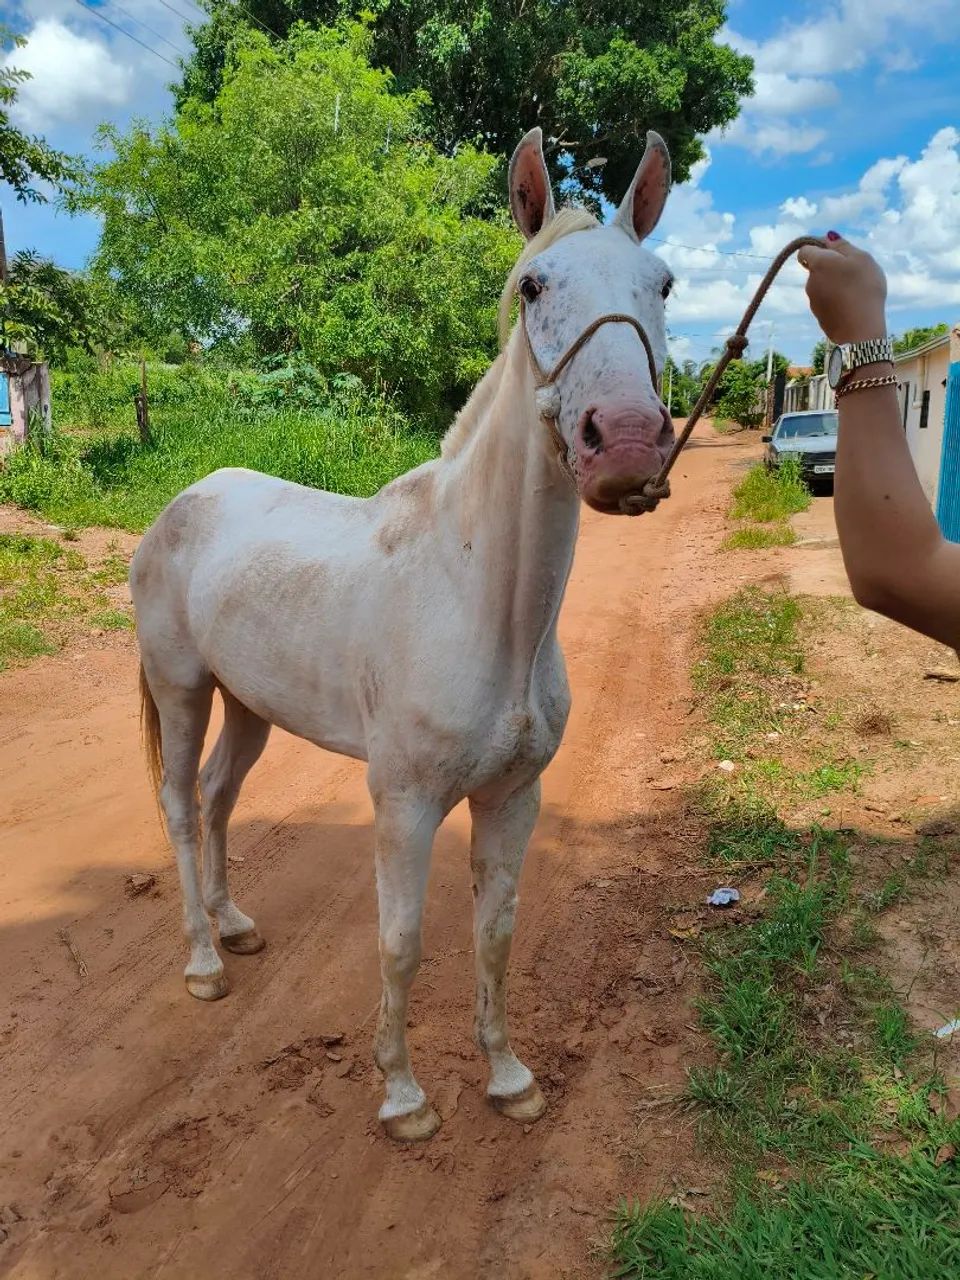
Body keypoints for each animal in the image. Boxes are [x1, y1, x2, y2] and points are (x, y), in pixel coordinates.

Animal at [131, 126, 676, 1142]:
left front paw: (509, 1078)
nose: (624, 442)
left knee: (221, 798)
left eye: (660, 283)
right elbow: (400, 943)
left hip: (249, 705)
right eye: (533, 286)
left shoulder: (513, 799)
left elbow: (494, 933)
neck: (480, 605)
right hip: (182, 691)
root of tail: (184, 502)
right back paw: (203, 964)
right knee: (182, 806)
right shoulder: (406, 804)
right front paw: (402, 1096)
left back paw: (234, 926)